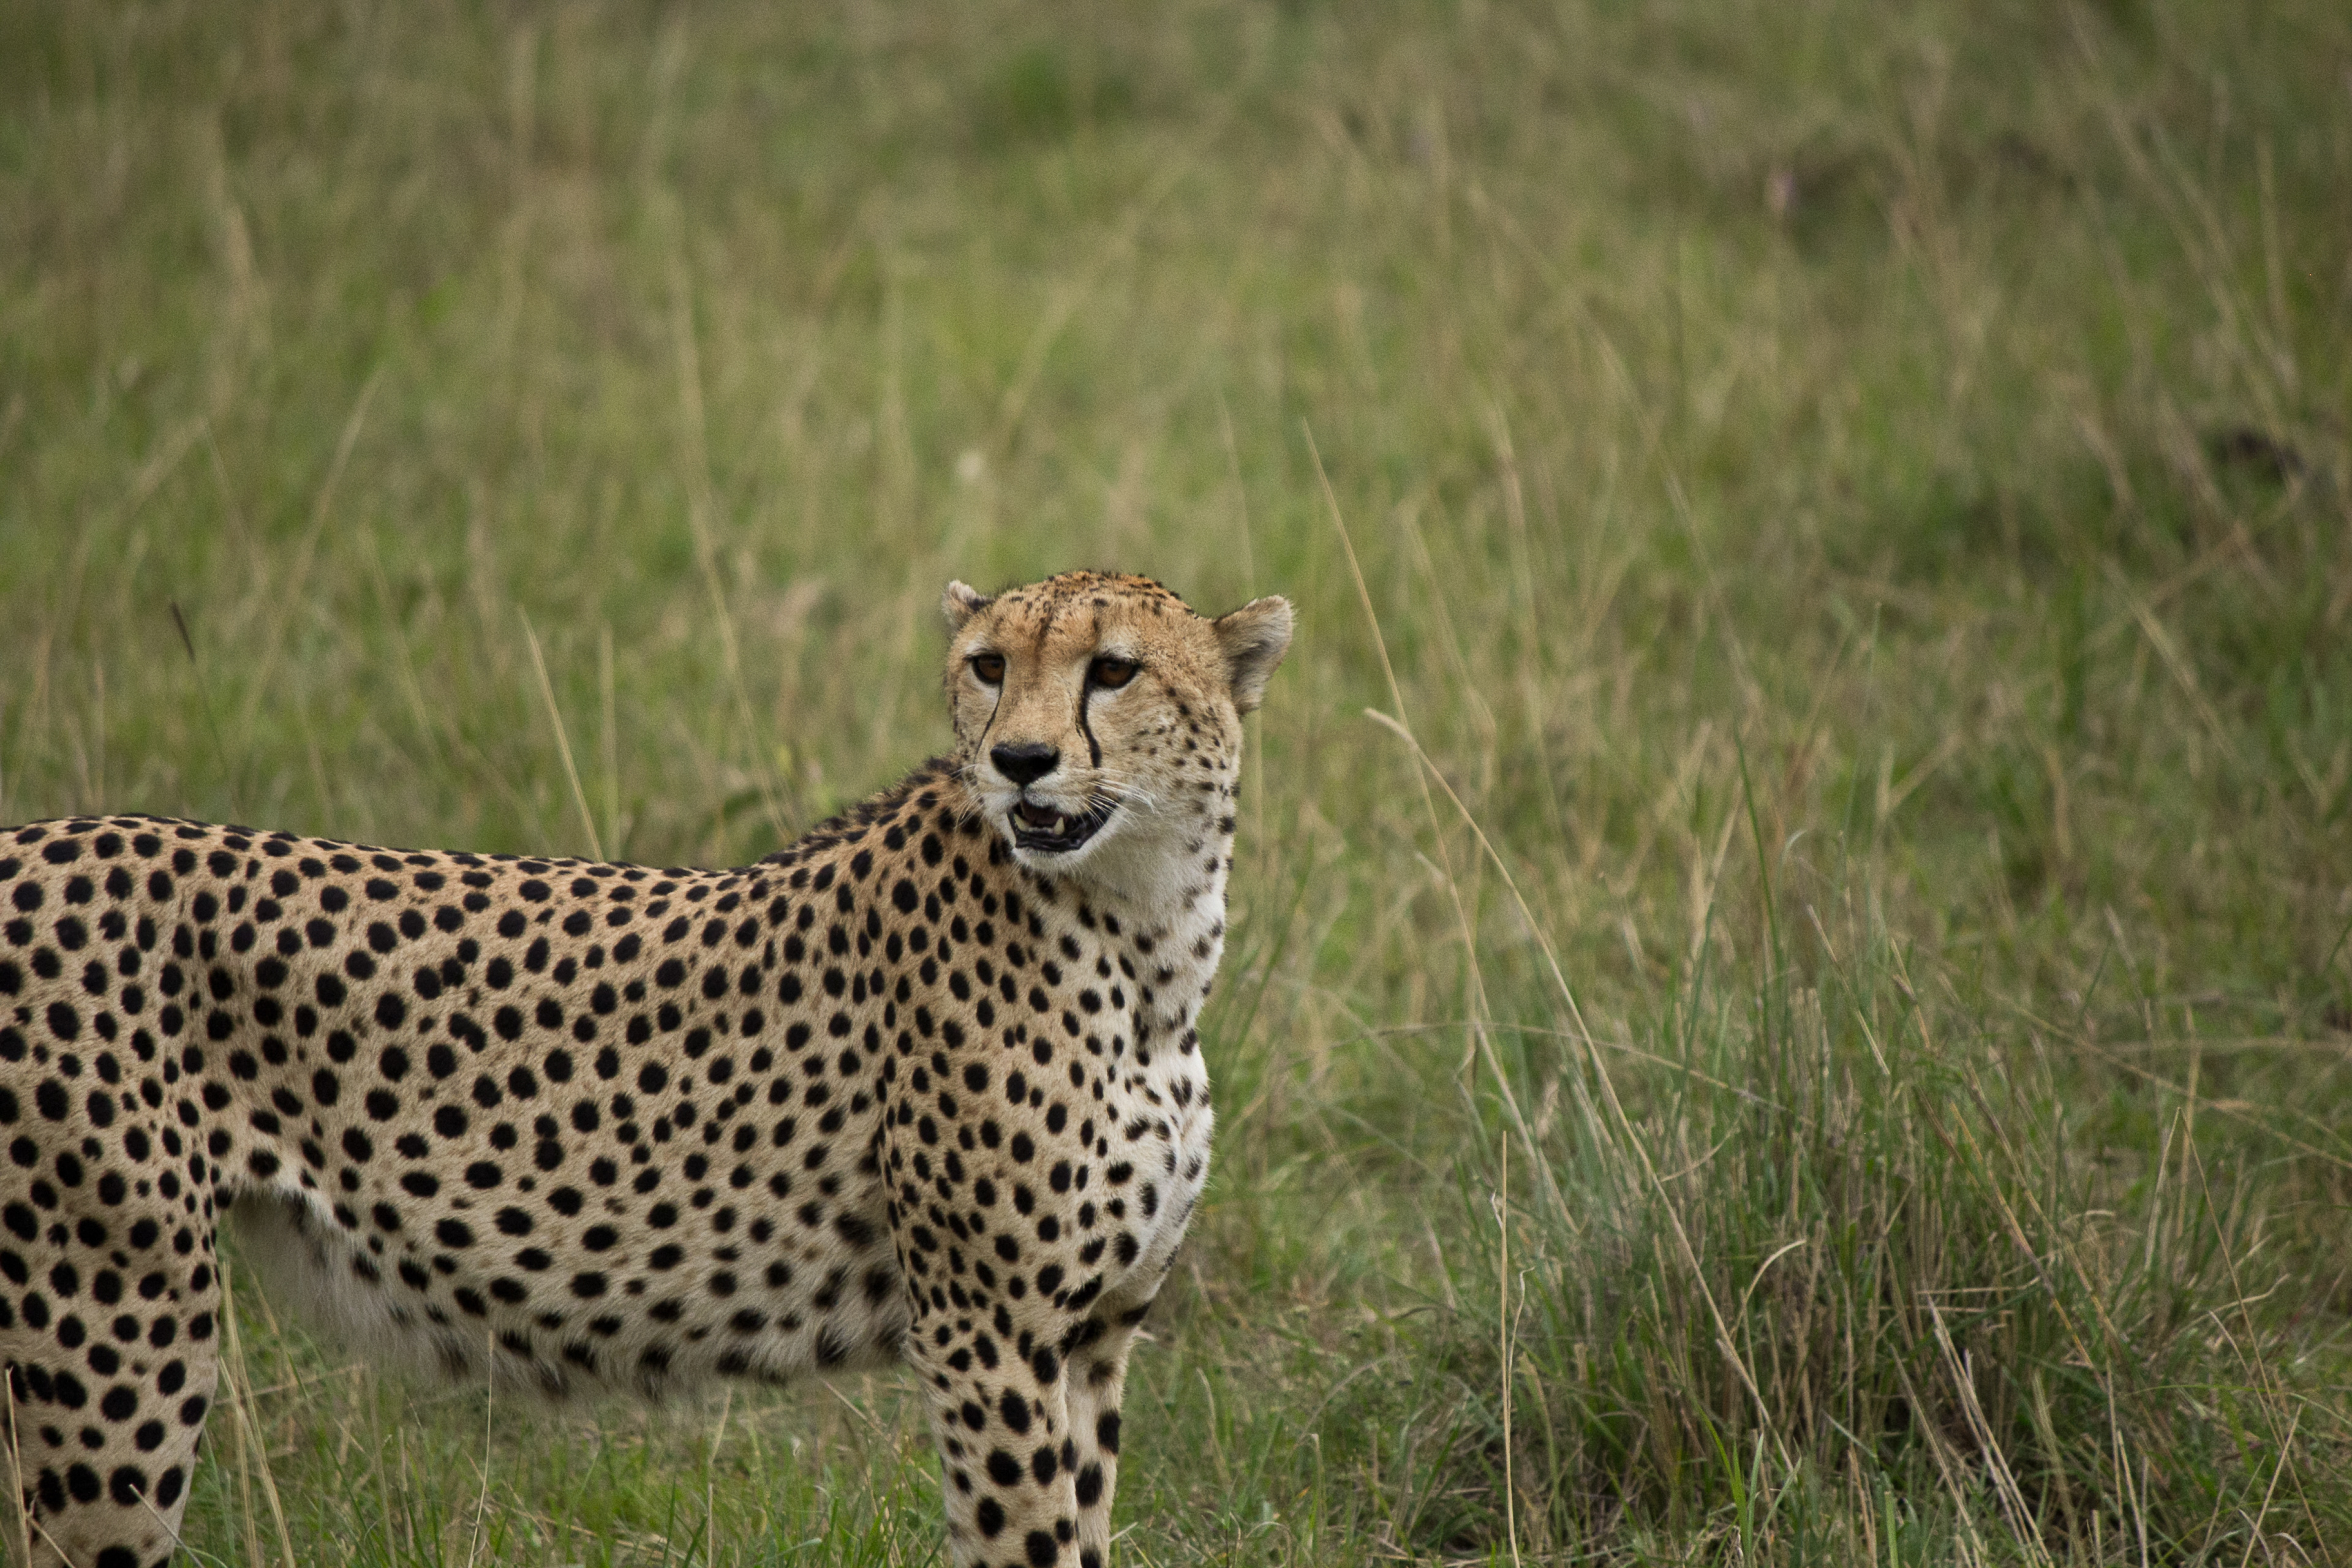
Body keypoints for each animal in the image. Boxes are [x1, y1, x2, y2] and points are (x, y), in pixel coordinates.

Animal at [0, 569, 1292, 1568]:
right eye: (987, 665)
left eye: (1113, 671)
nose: (1021, 760)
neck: (1148, 939)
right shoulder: (990, 1336)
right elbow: (1027, 1540)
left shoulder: (1093, 1336)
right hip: (114, 1333)